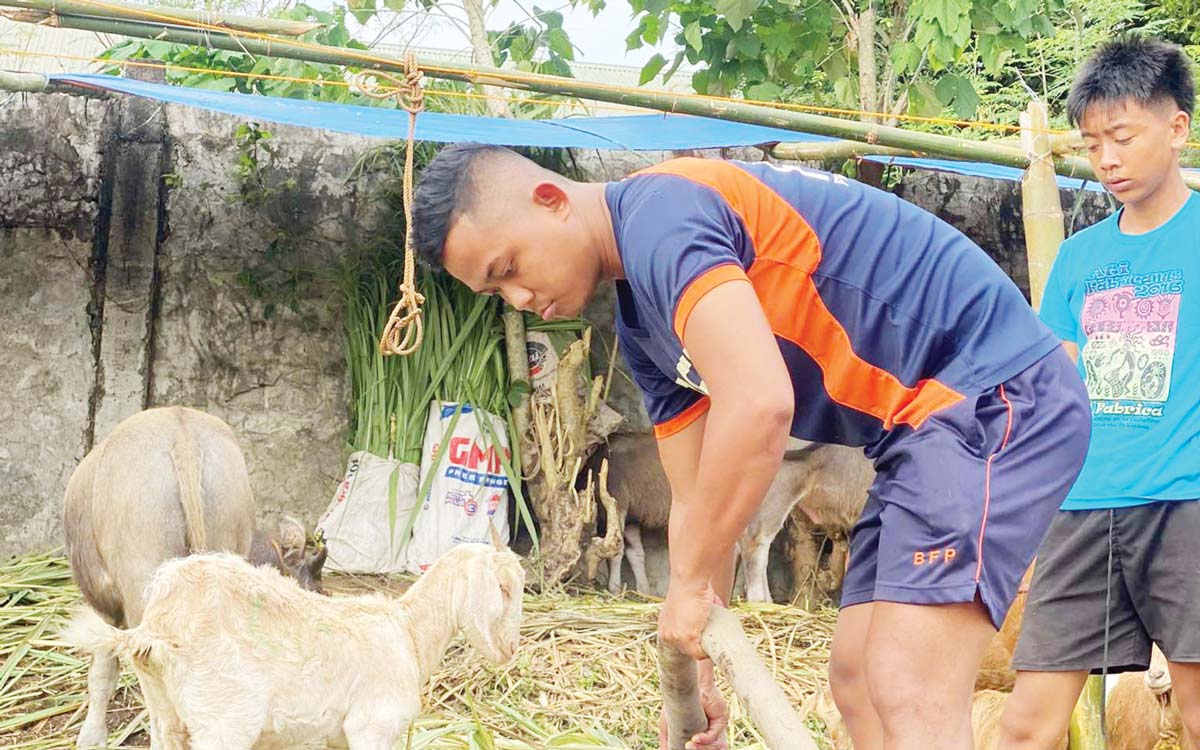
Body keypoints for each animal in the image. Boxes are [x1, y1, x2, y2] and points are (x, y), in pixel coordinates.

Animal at [59, 537, 520, 748]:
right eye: (503, 588)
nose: (510, 652)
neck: (409, 631)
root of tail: (156, 626)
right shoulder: (373, 726)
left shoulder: (340, 733)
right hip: (223, 719)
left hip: (164, 712)